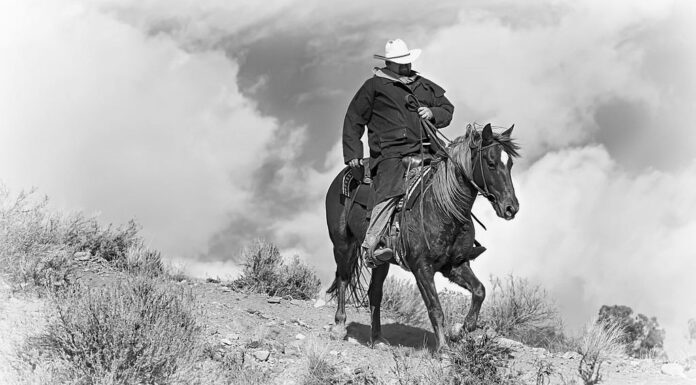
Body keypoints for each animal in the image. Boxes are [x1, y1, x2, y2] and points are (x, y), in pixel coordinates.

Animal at [324, 122, 520, 348]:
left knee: (375, 292)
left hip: (380, 260)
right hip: (343, 244)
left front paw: (464, 329)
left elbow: (480, 291)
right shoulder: (422, 268)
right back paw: (339, 326)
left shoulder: (454, 265)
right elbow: (435, 309)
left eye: (510, 163)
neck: (443, 207)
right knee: (344, 279)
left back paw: (378, 338)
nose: (511, 208)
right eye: (490, 163)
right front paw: (443, 348)